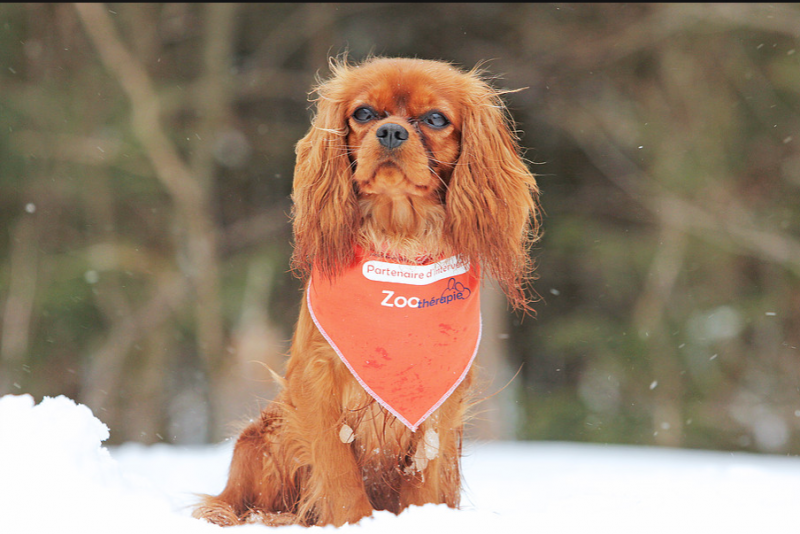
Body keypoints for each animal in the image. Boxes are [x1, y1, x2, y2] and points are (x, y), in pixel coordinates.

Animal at [194, 57, 540, 528]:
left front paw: (422, 518)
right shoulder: (316, 378)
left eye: (435, 119)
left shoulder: (441, 395)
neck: (399, 244)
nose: (391, 131)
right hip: (262, 436)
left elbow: (423, 471)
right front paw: (354, 521)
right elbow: (338, 469)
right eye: (363, 114)